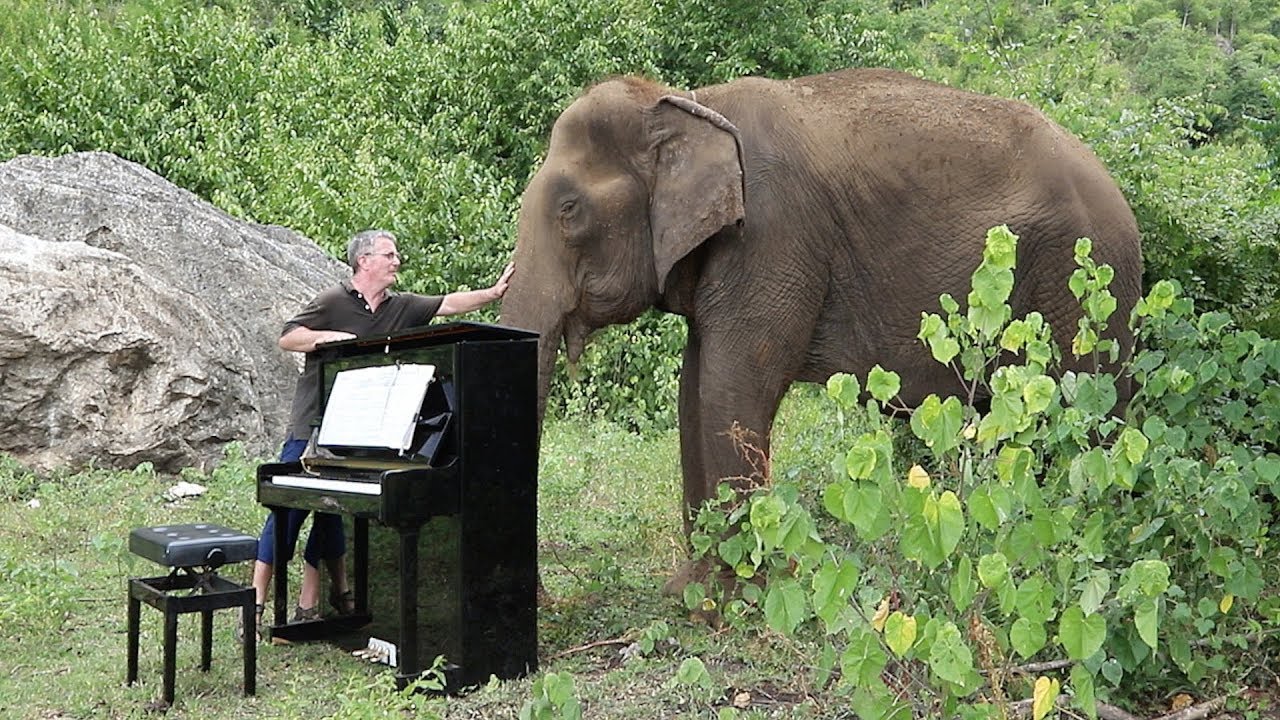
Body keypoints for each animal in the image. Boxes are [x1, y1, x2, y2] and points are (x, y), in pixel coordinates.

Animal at [496, 67, 1141, 545]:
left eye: (570, 211)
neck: (689, 104)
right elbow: (694, 388)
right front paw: (693, 599)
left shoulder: (773, 235)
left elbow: (734, 387)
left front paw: (728, 606)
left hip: (1077, 287)